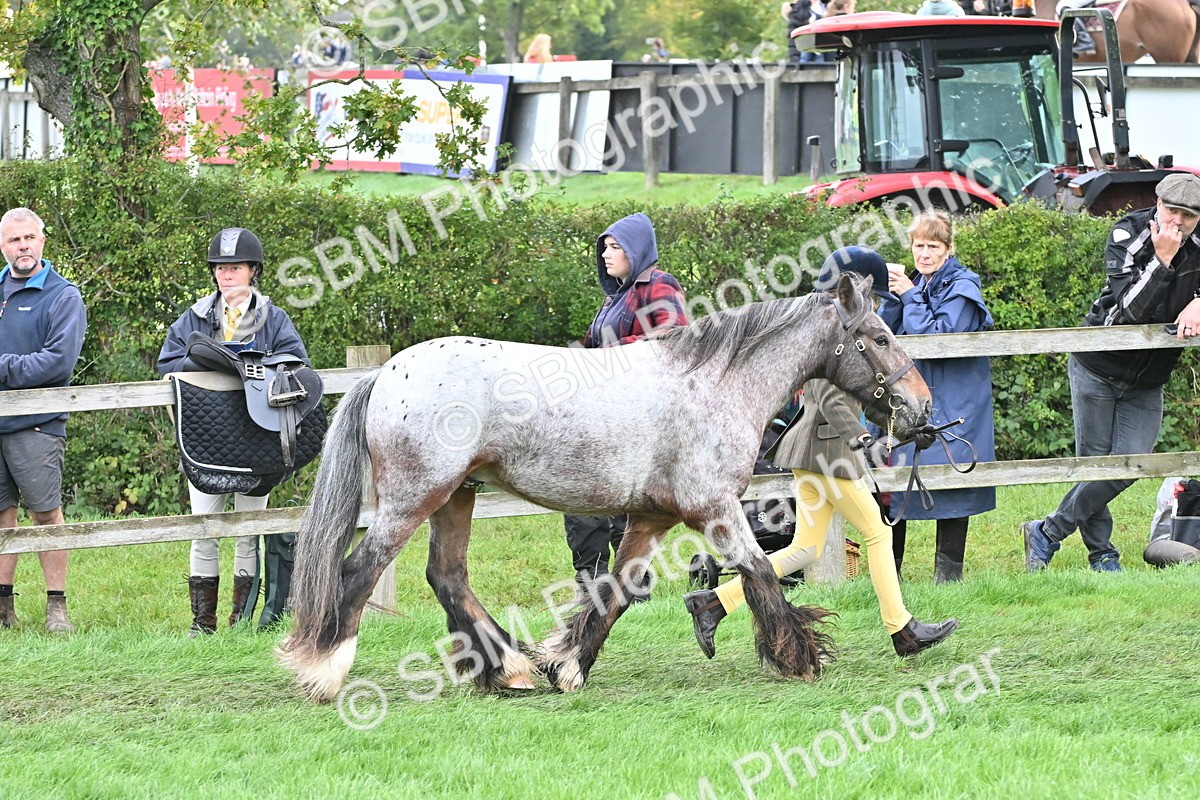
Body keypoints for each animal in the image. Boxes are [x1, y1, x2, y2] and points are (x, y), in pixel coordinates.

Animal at [278, 274, 932, 702]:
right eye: (878, 337)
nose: (920, 408)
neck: (714, 384)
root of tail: (386, 372)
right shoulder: (716, 510)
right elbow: (761, 571)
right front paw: (800, 656)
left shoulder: (653, 519)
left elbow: (614, 592)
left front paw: (567, 666)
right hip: (414, 499)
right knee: (360, 571)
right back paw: (326, 673)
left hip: (455, 496)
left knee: (447, 576)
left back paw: (511, 670)